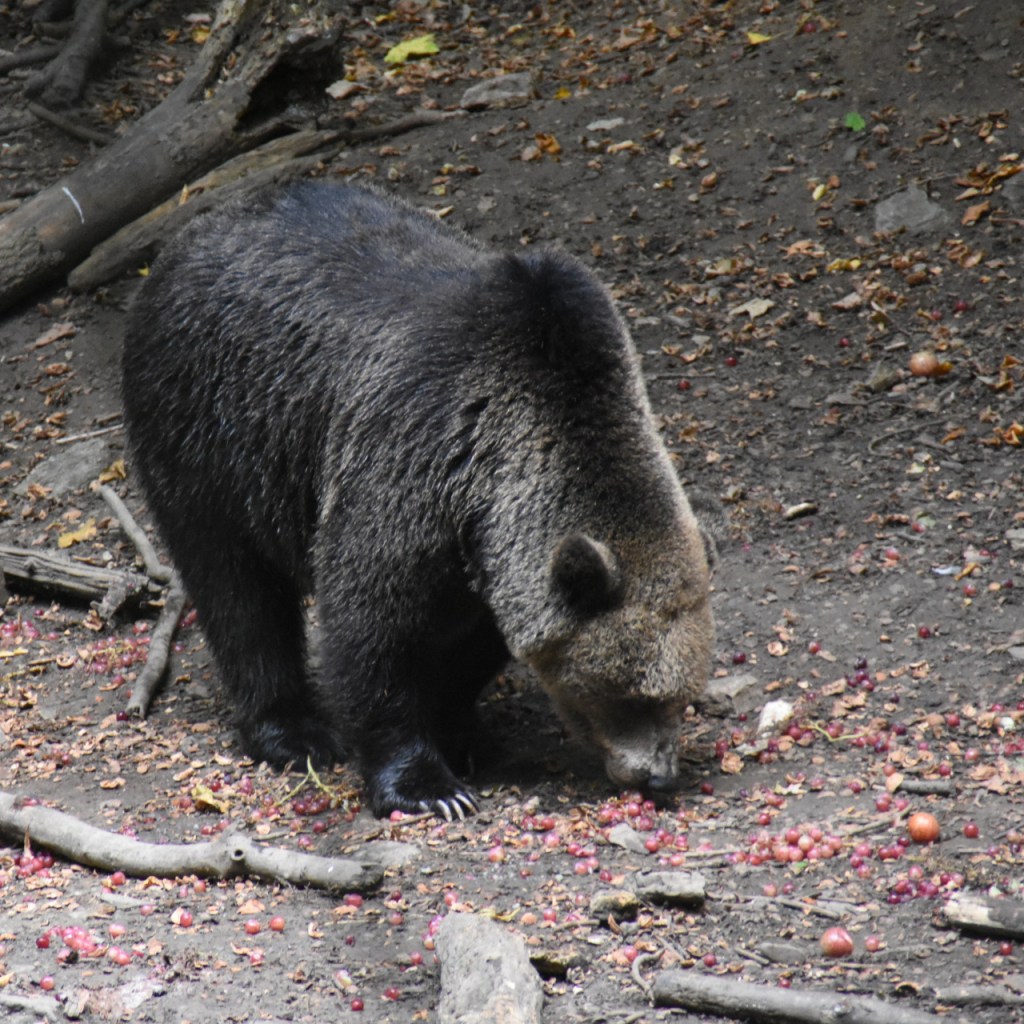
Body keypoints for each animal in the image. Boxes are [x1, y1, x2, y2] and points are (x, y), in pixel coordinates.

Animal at [121, 181, 715, 819]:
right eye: (630, 694)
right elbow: (370, 630)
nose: (657, 776)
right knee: (237, 593)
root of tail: (189, 234)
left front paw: (464, 733)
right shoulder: (410, 463)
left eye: (683, 694)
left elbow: (466, 648)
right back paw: (292, 731)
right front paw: (427, 786)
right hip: (212, 435)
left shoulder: (482, 558)